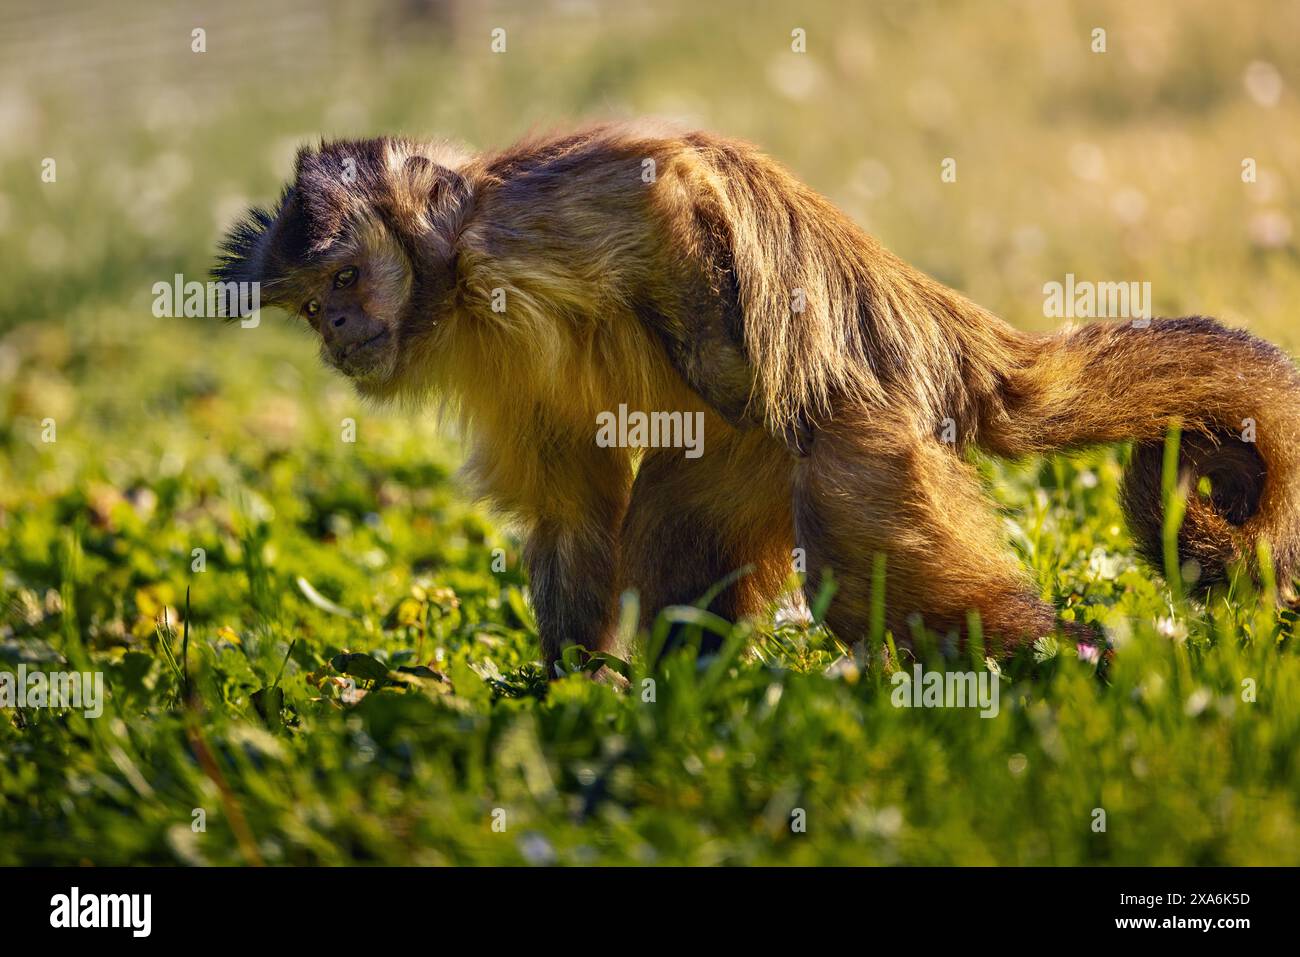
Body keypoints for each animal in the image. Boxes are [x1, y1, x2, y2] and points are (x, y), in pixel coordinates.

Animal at [214, 122, 1300, 674]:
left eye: (346, 279)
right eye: (311, 303)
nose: (337, 328)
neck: (455, 285)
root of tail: (928, 323)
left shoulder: (513, 229)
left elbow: (670, 186)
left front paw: (721, 353)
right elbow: (569, 515)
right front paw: (572, 696)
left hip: (867, 429)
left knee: (861, 565)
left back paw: (1078, 667)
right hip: (753, 465)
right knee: (676, 522)